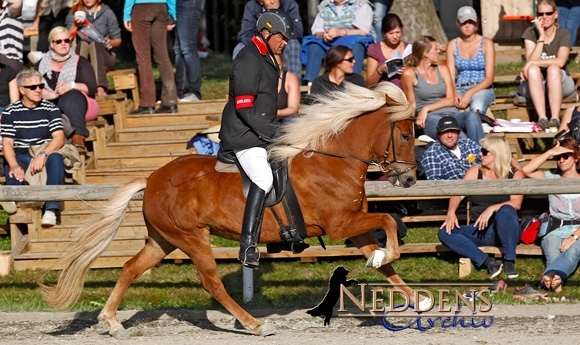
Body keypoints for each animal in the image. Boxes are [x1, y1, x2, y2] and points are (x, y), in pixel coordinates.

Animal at [43, 82, 420, 336]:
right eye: (404, 135)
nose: (411, 178)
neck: (332, 160)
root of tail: (151, 179)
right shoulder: (341, 224)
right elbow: (388, 220)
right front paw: (388, 255)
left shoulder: (354, 228)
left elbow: (386, 266)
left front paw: (417, 300)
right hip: (192, 237)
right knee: (211, 283)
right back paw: (254, 324)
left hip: (162, 239)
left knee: (130, 268)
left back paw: (111, 322)